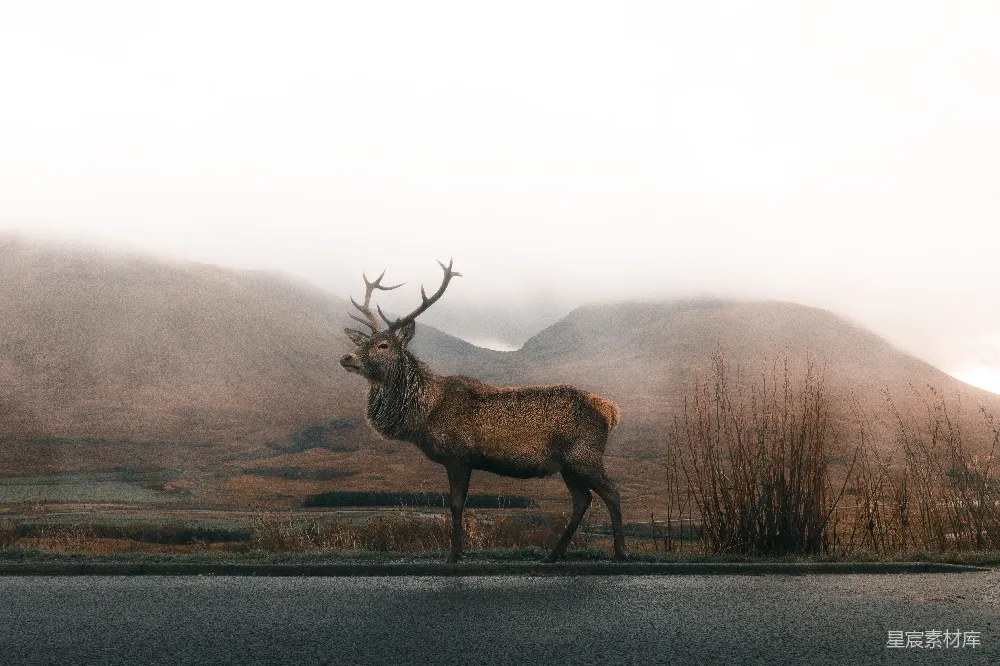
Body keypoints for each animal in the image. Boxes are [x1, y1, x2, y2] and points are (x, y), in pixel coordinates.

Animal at [339, 259, 626, 563]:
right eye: (360, 343)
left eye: (383, 345)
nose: (347, 357)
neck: (425, 414)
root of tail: (609, 409)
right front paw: (459, 551)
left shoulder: (459, 455)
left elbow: (456, 505)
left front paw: (454, 555)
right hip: (568, 465)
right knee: (583, 499)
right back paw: (553, 554)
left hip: (585, 455)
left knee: (612, 492)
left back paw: (620, 552)